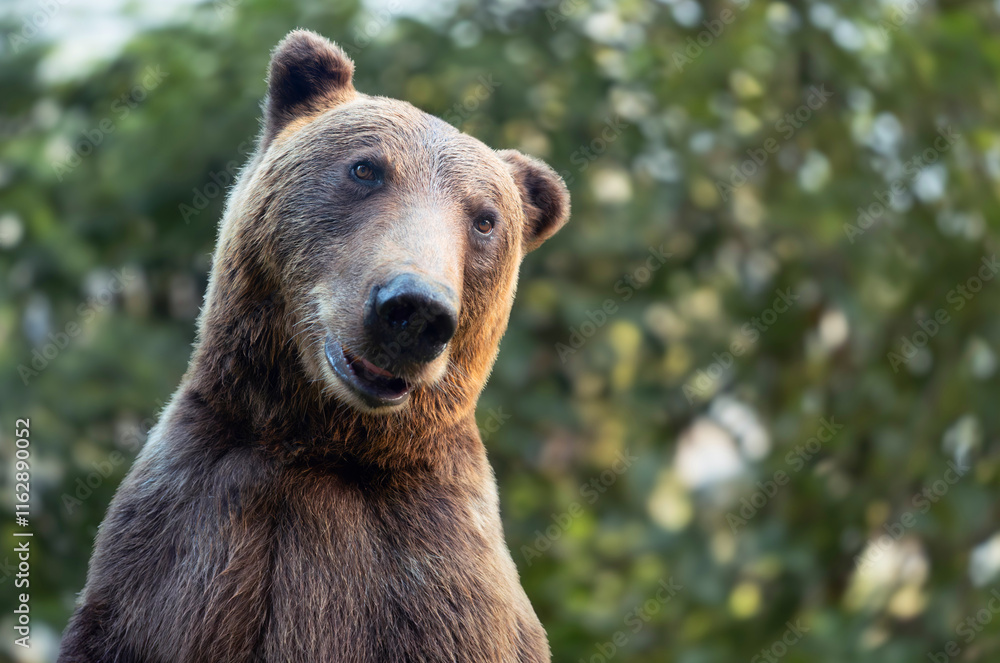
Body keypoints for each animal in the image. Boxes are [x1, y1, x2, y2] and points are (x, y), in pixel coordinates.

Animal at [57, 29, 570, 663]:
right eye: (366, 168)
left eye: (485, 220)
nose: (415, 310)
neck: (322, 442)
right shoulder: (177, 555)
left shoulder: (440, 583)